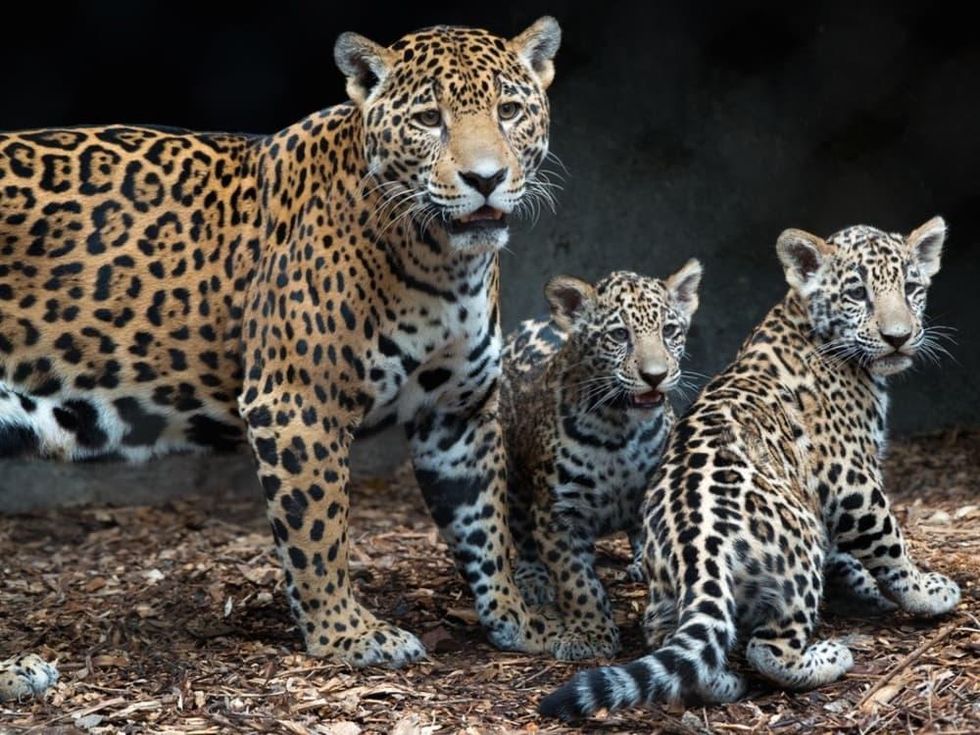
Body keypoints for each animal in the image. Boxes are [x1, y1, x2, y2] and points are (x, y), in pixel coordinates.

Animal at [0, 17, 568, 700]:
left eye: (509, 111)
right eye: (429, 119)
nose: (485, 180)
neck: (443, 263)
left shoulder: (456, 414)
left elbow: (485, 525)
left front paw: (519, 620)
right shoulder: (298, 404)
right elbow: (319, 531)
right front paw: (348, 635)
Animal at [499, 261, 702, 661]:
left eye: (669, 331)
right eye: (619, 335)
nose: (654, 376)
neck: (617, 427)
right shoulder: (558, 513)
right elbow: (577, 582)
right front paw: (591, 633)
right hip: (515, 477)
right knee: (521, 529)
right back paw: (533, 578)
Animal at [539, 217, 961, 720]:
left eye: (912, 289)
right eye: (858, 294)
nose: (899, 335)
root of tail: (699, 549)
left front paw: (865, 587)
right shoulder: (850, 480)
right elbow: (890, 543)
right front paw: (925, 591)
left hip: (667, 590)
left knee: (672, 642)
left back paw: (720, 680)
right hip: (796, 555)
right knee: (770, 649)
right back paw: (828, 656)